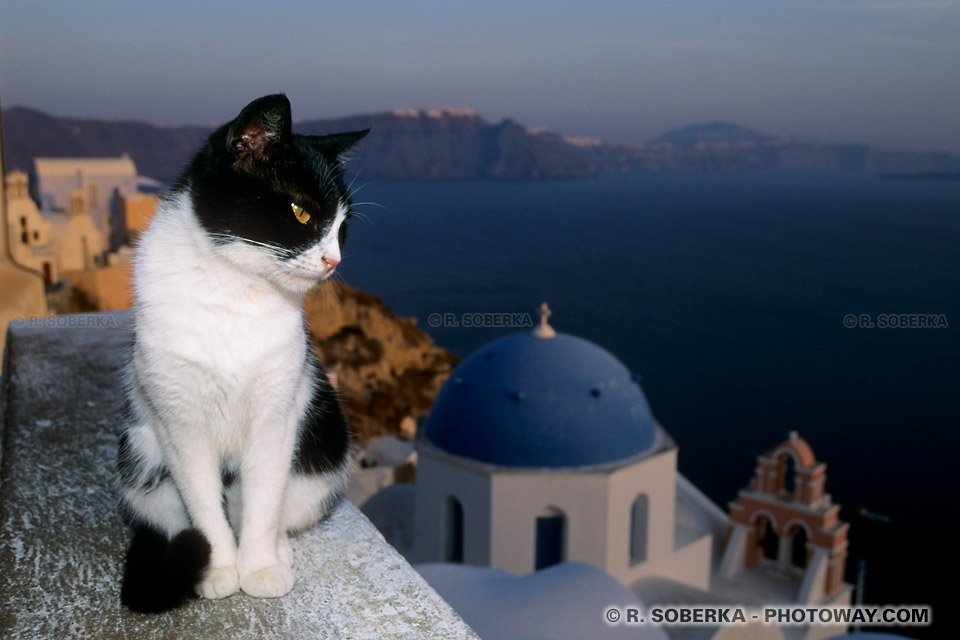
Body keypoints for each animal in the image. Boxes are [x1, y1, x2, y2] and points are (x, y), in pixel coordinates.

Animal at [113, 94, 368, 608]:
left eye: (343, 227)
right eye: (302, 212)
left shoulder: (278, 413)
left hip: (323, 455)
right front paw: (220, 571)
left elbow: (264, 500)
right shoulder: (178, 425)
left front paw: (261, 567)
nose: (333, 260)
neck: (234, 289)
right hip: (140, 461)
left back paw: (280, 550)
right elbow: (203, 505)